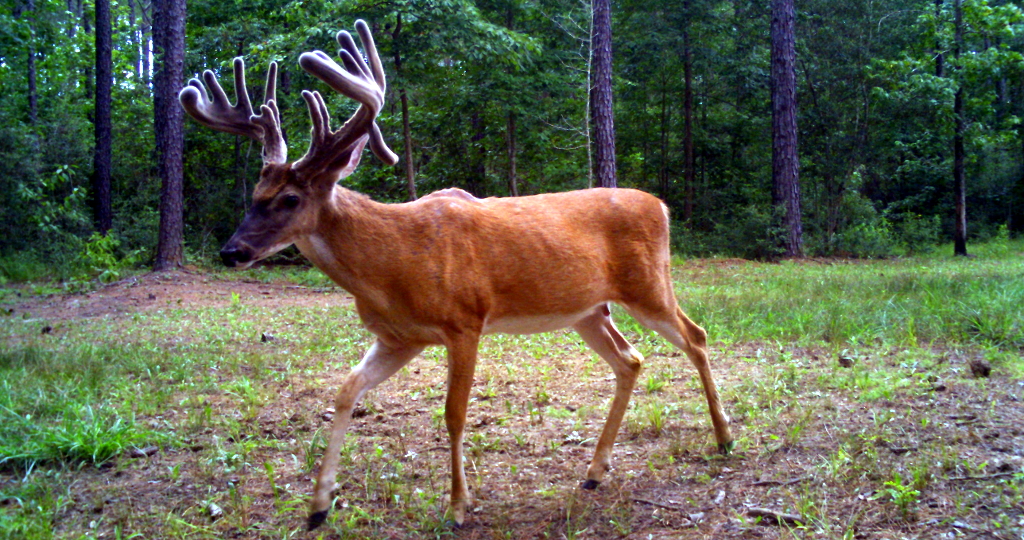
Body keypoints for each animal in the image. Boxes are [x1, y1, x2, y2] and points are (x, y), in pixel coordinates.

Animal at [178, 20, 733, 530]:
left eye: (291, 199)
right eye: (255, 194)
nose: (231, 251)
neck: (392, 264)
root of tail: (660, 205)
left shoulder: (465, 321)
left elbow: (453, 413)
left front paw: (458, 506)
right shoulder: (399, 337)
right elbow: (345, 392)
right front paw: (318, 506)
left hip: (648, 285)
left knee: (696, 335)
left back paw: (724, 437)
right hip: (587, 311)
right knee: (631, 360)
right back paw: (596, 470)